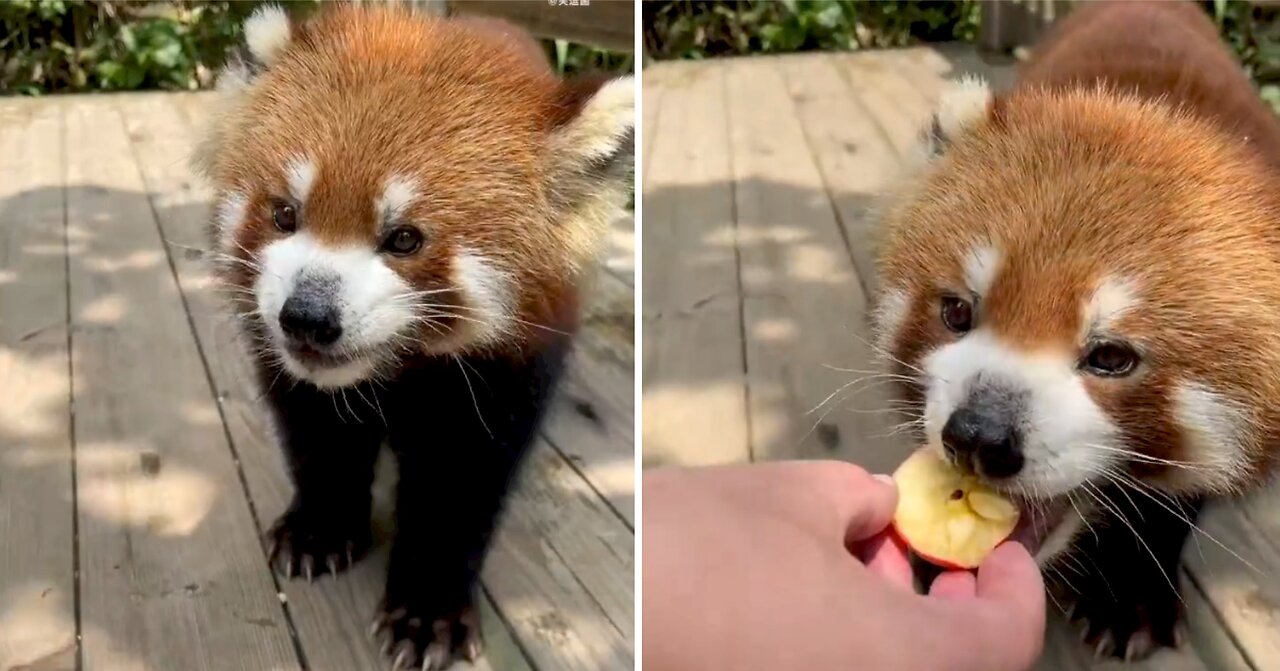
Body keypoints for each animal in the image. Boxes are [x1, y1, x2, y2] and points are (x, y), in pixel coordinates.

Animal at [188, 3, 629, 665]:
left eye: (404, 239)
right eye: (284, 213)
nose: (308, 316)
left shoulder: (507, 370)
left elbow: (458, 484)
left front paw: (426, 612)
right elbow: (317, 434)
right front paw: (320, 529)